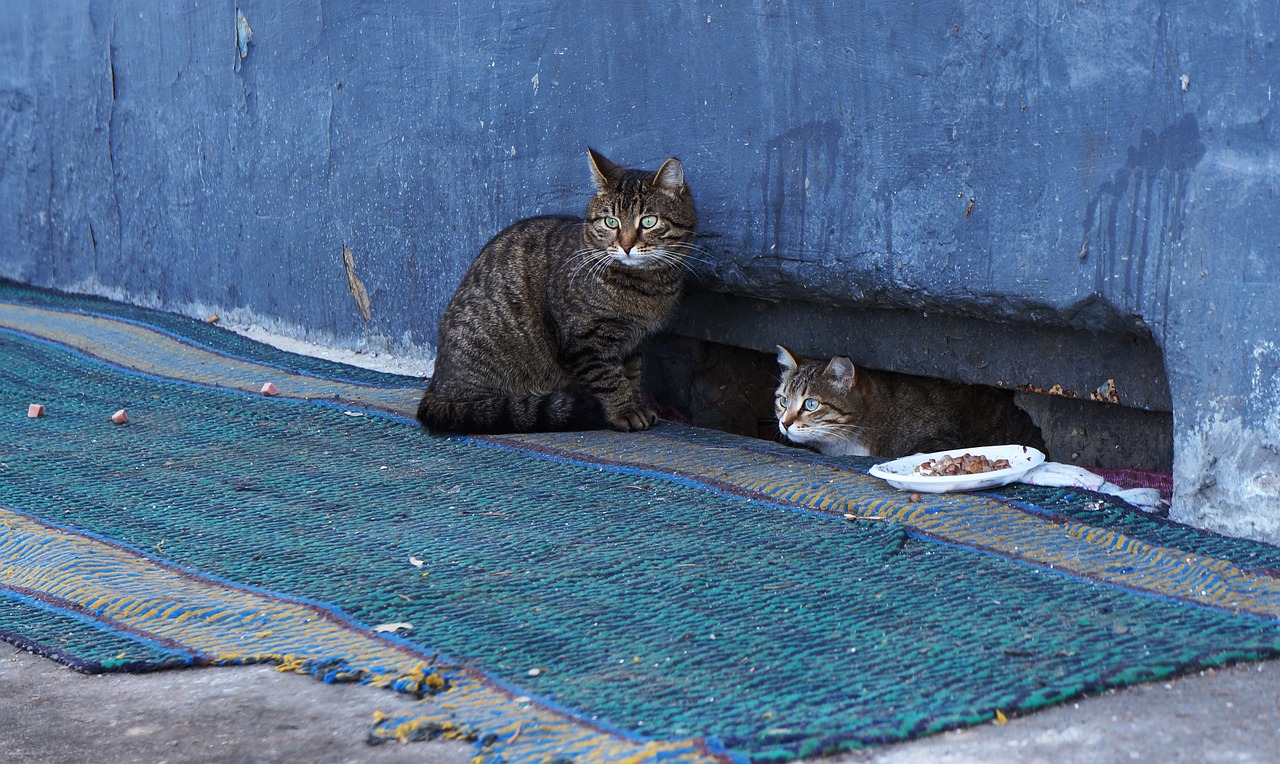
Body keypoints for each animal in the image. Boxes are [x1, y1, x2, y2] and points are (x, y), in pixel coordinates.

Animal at [417, 149, 701, 435]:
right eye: (611, 222)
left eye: (649, 221)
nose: (626, 245)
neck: (646, 286)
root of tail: (434, 391)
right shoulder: (584, 342)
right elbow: (610, 380)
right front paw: (625, 411)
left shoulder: (632, 344)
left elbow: (631, 376)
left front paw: (637, 405)